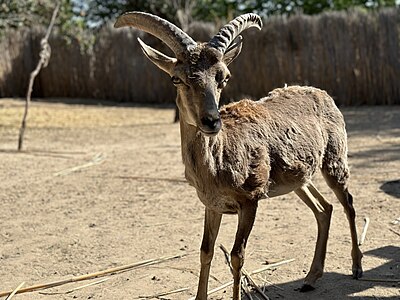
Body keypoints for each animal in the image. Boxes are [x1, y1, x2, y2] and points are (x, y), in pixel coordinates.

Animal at [115, 11, 362, 300]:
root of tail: (324, 95)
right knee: (324, 209)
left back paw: (357, 267)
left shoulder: (250, 200)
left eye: (224, 77)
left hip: (334, 160)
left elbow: (237, 255)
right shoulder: (212, 204)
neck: (220, 159)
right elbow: (206, 250)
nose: (211, 121)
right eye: (177, 78)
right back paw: (310, 278)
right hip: (298, 179)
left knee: (348, 203)